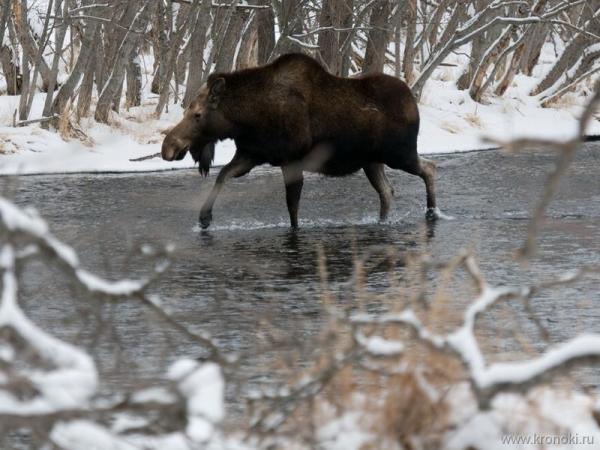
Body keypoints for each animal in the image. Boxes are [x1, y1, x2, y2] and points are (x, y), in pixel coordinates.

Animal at [162, 52, 438, 229]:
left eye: (197, 114)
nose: (168, 147)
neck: (247, 120)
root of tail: (412, 101)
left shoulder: (290, 160)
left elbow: (292, 207)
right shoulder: (251, 154)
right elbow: (223, 175)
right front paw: (204, 217)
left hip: (399, 154)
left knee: (429, 168)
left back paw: (432, 212)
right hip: (372, 161)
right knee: (387, 191)